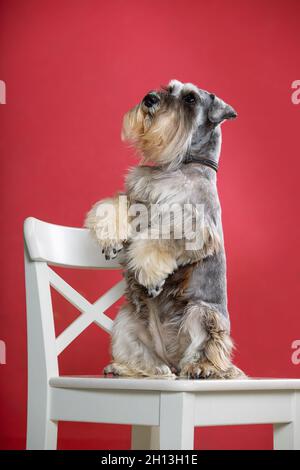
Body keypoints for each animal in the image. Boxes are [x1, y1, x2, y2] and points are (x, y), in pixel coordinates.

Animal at [85, 78, 245, 378]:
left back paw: (202, 367)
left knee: (209, 349)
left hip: (201, 313)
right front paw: (111, 239)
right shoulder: (139, 200)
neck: (180, 164)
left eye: (191, 99)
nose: (149, 99)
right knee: (146, 361)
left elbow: (157, 239)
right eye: (170, 89)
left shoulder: (191, 226)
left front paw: (150, 277)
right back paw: (125, 368)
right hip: (126, 321)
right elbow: (113, 205)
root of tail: (172, 359)